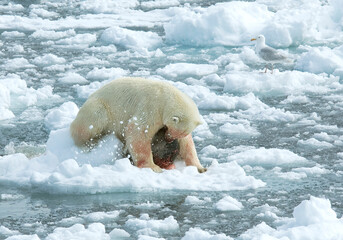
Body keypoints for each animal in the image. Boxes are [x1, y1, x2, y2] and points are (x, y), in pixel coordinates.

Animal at [70, 77, 207, 172]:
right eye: (172, 130)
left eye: (181, 133)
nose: (169, 139)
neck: (165, 96)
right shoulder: (151, 108)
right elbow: (138, 131)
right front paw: (153, 167)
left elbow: (187, 144)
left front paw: (200, 167)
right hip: (99, 108)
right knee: (92, 123)